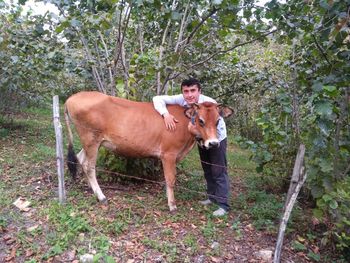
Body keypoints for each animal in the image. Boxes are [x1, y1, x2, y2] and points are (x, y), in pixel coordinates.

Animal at [64, 91, 234, 212]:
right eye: (201, 120)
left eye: (218, 121)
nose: (213, 143)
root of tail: (72, 98)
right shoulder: (169, 154)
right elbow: (170, 179)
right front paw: (172, 205)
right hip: (91, 138)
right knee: (89, 166)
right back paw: (101, 196)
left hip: (92, 142)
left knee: (81, 159)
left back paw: (90, 188)